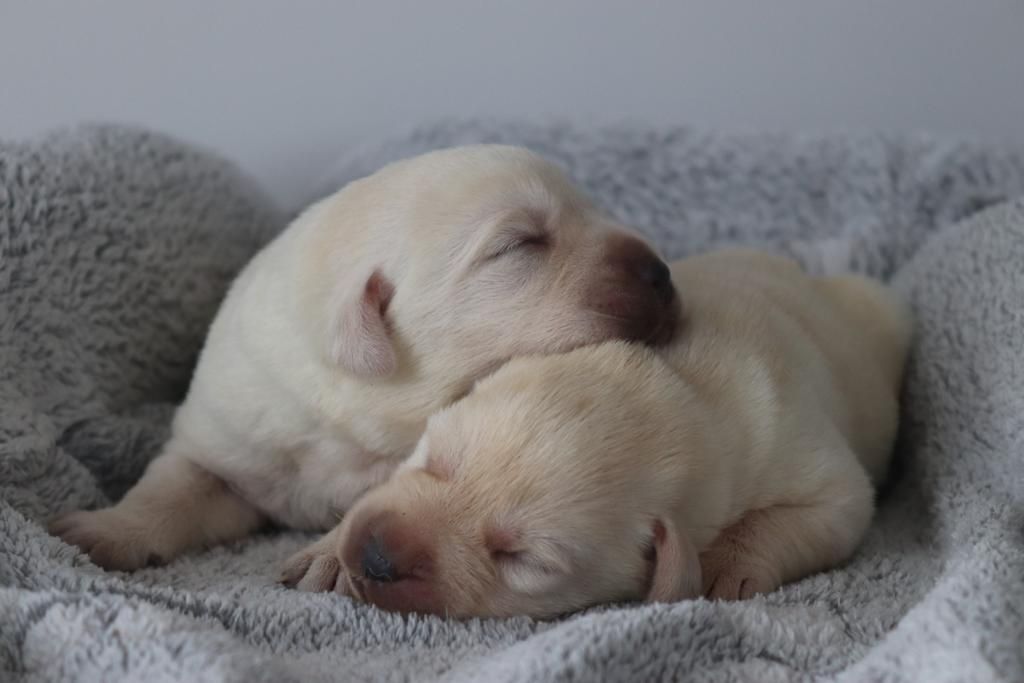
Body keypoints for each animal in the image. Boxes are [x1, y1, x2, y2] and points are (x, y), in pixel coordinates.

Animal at [54, 143, 679, 573]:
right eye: (520, 243)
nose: (661, 272)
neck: (348, 426)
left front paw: (328, 556)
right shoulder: (226, 437)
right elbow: (170, 485)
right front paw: (102, 530)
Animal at [284, 248, 909, 618]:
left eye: (522, 559)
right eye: (434, 460)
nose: (374, 559)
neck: (681, 385)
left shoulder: (813, 468)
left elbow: (824, 510)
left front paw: (728, 565)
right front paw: (326, 553)